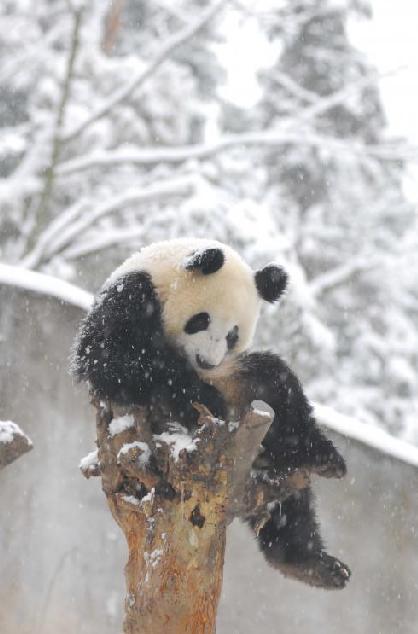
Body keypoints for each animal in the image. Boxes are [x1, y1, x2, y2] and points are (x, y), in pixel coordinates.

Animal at [72, 236, 350, 588]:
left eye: (233, 334)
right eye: (201, 320)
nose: (207, 362)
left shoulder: (230, 369)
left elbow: (278, 379)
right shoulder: (132, 295)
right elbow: (109, 356)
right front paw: (203, 396)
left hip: (242, 390)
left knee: (277, 388)